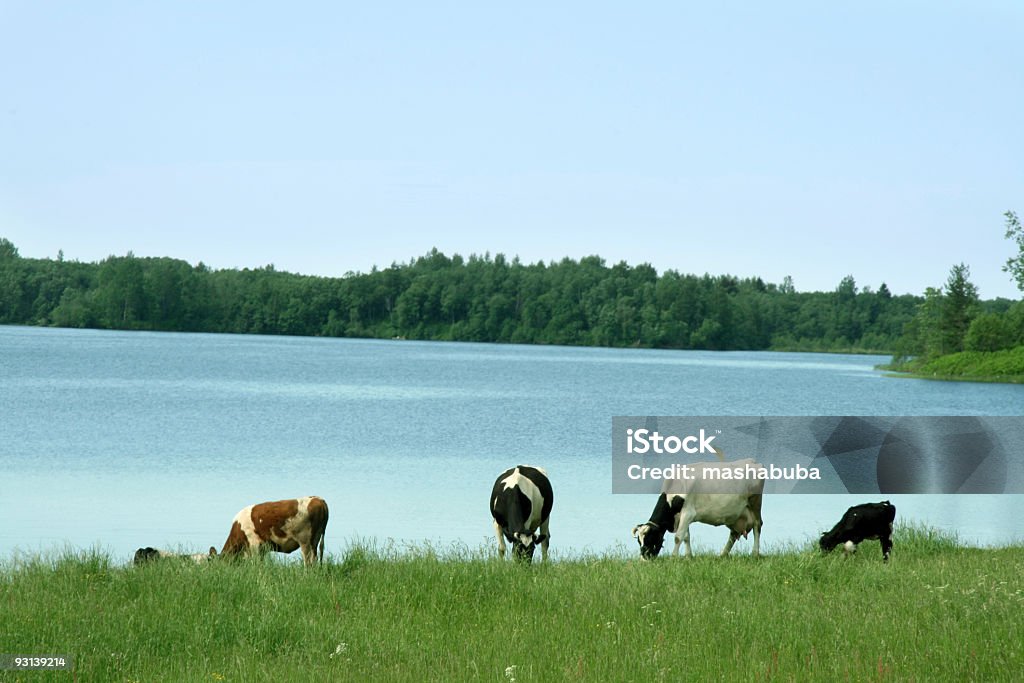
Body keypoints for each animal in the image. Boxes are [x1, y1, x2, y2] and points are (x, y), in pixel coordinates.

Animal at [626, 458, 765, 561]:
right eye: (639, 541)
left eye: (650, 538)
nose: (643, 559)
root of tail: (752, 461)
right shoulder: (683, 516)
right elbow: (686, 537)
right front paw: (688, 556)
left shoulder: (688, 513)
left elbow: (678, 537)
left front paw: (673, 557)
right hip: (735, 515)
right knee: (733, 534)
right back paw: (722, 554)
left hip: (755, 504)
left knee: (757, 526)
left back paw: (754, 553)